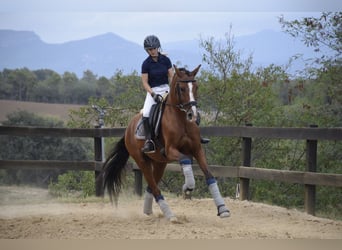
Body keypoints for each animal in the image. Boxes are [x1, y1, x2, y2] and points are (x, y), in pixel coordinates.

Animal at [101, 64, 230, 221]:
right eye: (182, 89)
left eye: (196, 87)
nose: (193, 115)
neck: (182, 120)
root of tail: (128, 129)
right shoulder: (171, 150)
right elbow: (186, 160)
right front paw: (187, 187)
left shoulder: (197, 150)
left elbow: (210, 176)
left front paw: (222, 209)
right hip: (142, 161)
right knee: (154, 187)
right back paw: (170, 215)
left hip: (160, 163)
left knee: (152, 186)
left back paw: (148, 210)